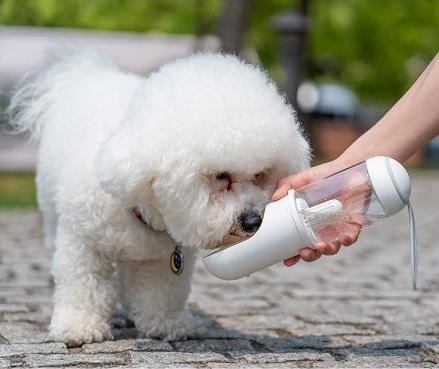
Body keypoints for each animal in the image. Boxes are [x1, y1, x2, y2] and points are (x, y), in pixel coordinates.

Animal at [8, 50, 310, 346]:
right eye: (221, 175)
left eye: (260, 174)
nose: (252, 222)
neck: (138, 199)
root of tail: (87, 72)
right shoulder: (84, 241)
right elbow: (83, 284)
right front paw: (78, 326)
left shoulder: (163, 260)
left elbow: (161, 291)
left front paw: (167, 324)